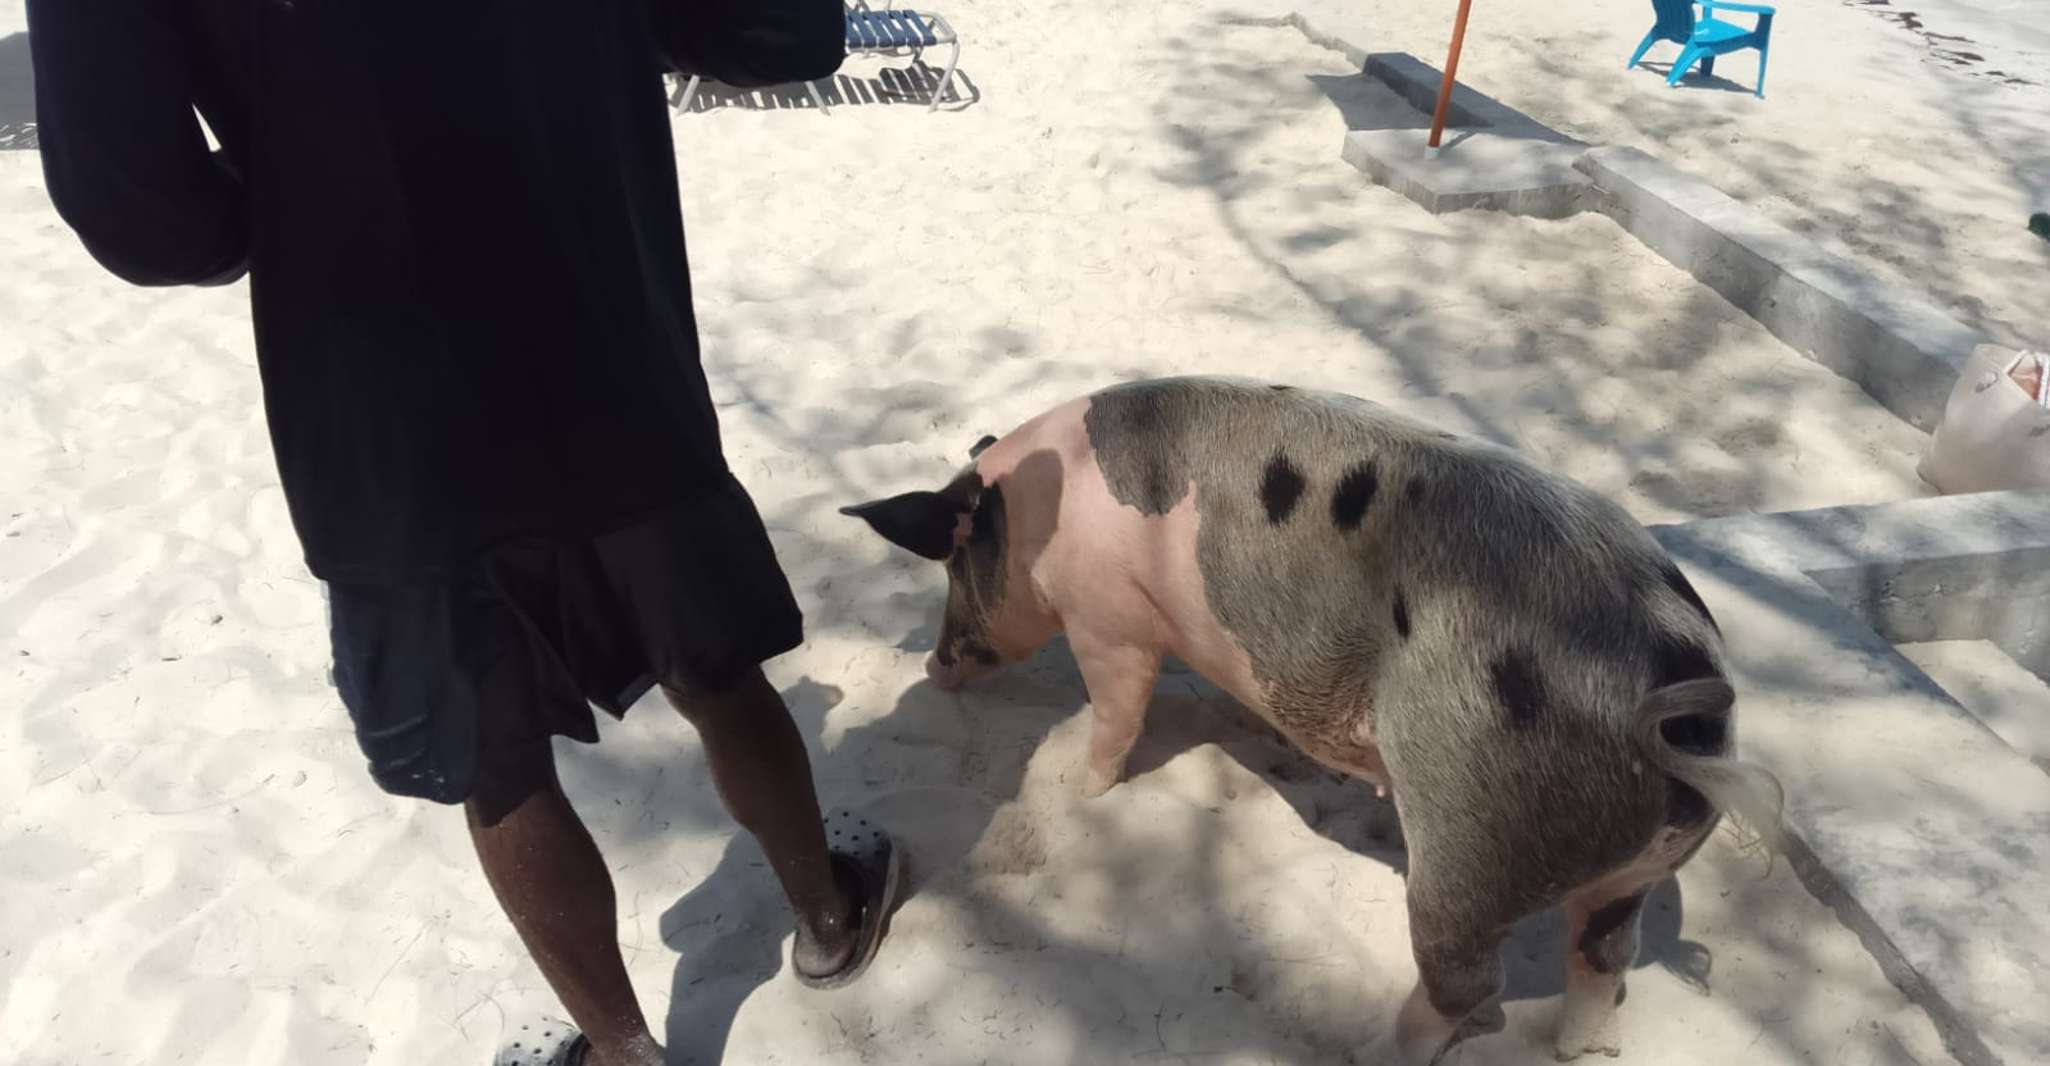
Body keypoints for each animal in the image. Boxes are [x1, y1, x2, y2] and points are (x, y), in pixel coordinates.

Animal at [842, 376, 1783, 1064]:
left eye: (953, 561)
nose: (931, 666)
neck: (1038, 512)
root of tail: (1673, 689)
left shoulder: (1111, 619)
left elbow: (1118, 711)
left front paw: (1077, 785)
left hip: (1470, 840)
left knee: (1468, 986)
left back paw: (1369, 1049)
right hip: (1633, 872)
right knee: (1603, 959)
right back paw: (1583, 1051)